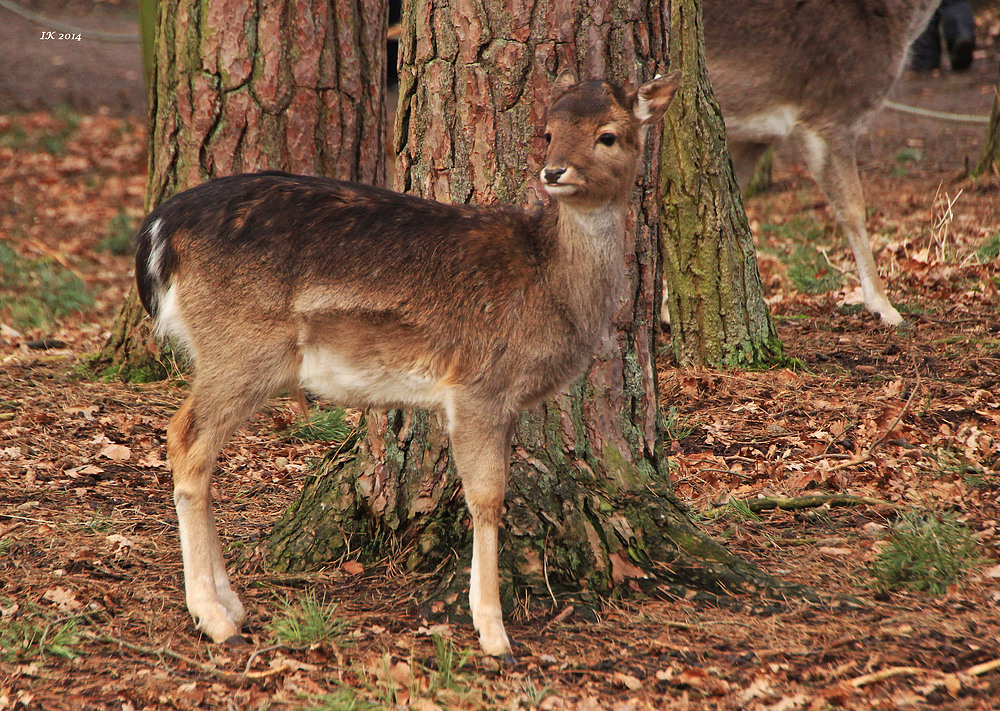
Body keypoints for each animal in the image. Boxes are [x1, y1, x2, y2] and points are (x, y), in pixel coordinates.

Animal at [137, 71, 684, 656]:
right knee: (186, 439)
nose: (554, 171)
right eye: (549, 132)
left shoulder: (507, 401)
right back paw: (212, 616)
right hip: (241, 347)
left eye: (607, 135)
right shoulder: (478, 386)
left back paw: (231, 605)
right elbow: (487, 497)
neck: (552, 285)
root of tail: (159, 230)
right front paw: (493, 630)